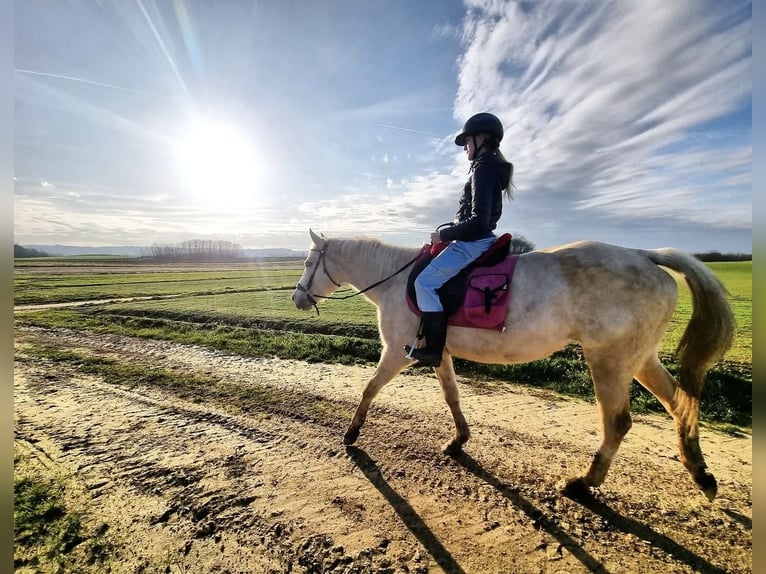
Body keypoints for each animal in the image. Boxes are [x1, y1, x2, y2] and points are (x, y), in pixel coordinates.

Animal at [291, 229, 735, 500]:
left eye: (308, 263)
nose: (297, 298)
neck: (396, 280)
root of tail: (645, 256)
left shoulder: (397, 352)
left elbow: (370, 388)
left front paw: (352, 433)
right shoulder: (439, 353)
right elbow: (452, 396)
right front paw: (459, 440)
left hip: (609, 361)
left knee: (619, 422)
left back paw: (583, 483)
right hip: (639, 358)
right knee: (679, 403)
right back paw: (700, 473)